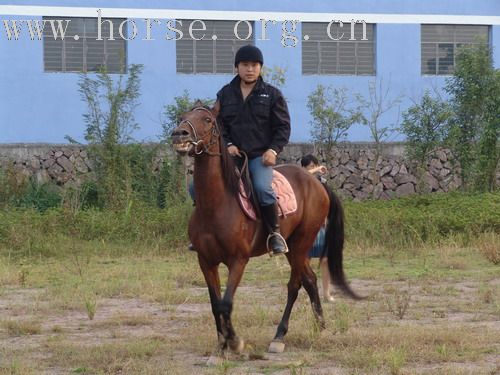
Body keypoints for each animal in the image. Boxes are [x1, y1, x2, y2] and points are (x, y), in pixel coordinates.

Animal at [172, 106, 360, 356]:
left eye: (208, 119)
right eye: (182, 117)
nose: (179, 134)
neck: (217, 204)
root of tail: (316, 182)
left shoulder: (238, 260)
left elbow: (226, 303)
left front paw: (235, 342)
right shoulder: (205, 260)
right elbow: (215, 304)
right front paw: (221, 347)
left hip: (302, 243)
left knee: (295, 285)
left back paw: (280, 336)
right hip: (294, 248)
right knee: (309, 279)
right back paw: (320, 326)